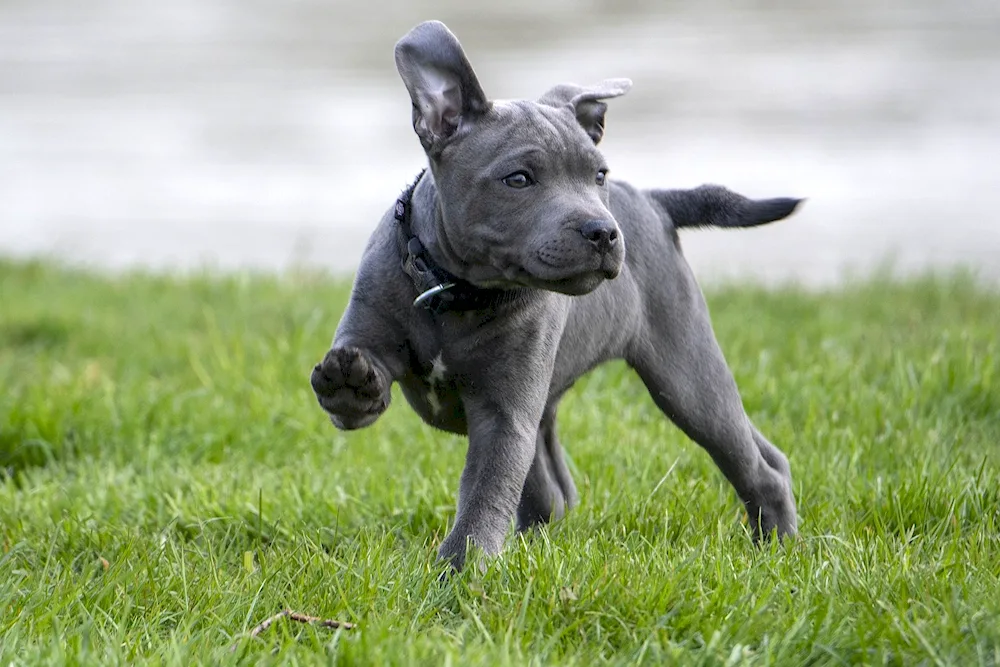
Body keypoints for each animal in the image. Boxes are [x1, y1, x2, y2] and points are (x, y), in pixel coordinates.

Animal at [308, 22, 800, 576]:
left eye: (599, 175)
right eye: (519, 179)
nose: (604, 232)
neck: (454, 292)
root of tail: (653, 202)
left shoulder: (504, 417)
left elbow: (484, 495)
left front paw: (460, 572)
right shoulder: (379, 331)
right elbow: (361, 378)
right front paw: (351, 382)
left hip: (686, 374)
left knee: (752, 462)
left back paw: (779, 549)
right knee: (556, 492)